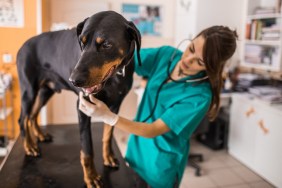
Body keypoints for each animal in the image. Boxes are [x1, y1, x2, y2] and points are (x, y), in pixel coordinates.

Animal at [16, 11, 141, 187]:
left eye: (106, 44)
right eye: (82, 42)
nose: (73, 80)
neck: (114, 78)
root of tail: (23, 46)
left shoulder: (114, 107)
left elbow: (108, 135)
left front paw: (108, 156)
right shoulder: (82, 107)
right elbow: (87, 148)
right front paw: (91, 177)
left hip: (46, 91)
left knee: (33, 115)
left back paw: (40, 136)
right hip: (29, 91)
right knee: (23, 118)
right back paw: (29, 146)